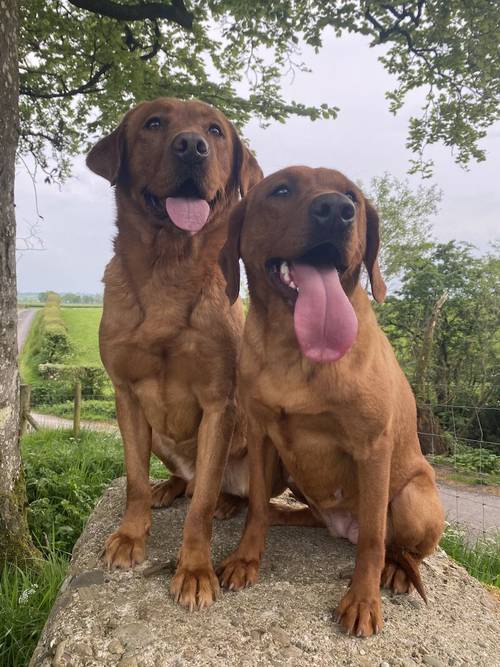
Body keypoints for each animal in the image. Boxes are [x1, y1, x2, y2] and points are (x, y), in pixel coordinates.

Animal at [217, 167, 444, 636]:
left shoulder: (372, 449)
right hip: (293, 475)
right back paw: (283, 515)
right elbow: (256, 511)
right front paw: (246, 559)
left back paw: (397, 570)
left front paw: (362, 600)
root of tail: (342, 529)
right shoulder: (262, 435)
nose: (337, 210)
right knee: (295, 512)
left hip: (415, 498)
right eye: (281, 189)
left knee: (400, 547)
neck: (297, 350)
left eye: (352, 197)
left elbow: (374, 539)